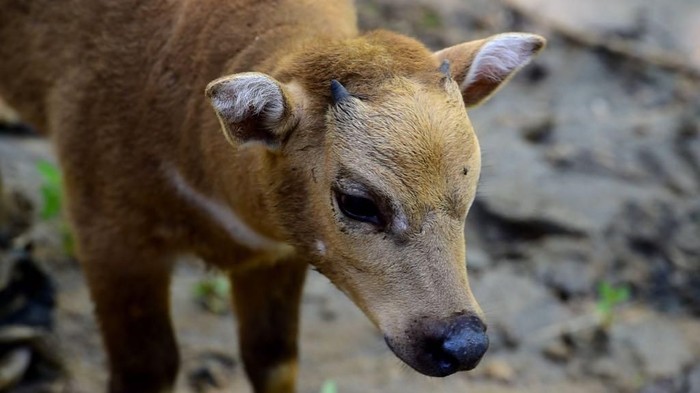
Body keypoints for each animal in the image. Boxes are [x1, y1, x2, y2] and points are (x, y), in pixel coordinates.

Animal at [0, 0, 544, 392]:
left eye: (469, 183)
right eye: (357, 202)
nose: (464, 344)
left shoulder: (276, 253)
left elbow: (273, 359)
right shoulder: (107, 230)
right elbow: (147, 369)